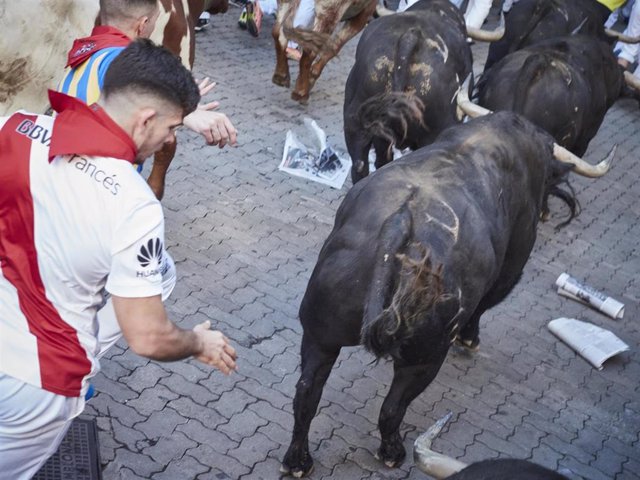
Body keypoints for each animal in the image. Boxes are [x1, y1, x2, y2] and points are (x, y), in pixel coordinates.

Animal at [282, 112, 584, 476]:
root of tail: (400, 222)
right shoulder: (512, 264)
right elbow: (483, 307)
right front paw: (470, 339)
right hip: (424, 357)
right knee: (392, 408)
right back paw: (392, 451)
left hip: (319, 336)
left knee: (306, 394)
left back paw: (298, 460)